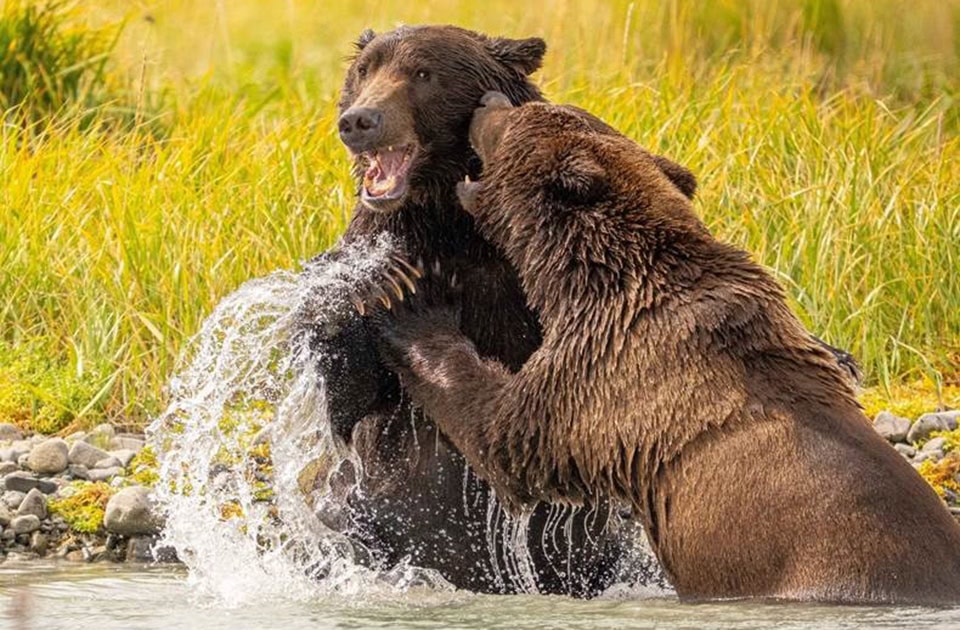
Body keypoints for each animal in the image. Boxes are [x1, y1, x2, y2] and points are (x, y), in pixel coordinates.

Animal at [379, 92, 960, 605]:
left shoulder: (603, 373)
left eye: (521, 118)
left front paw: (409, 300)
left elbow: (503, 432)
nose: (488, 101)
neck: (595, 280)